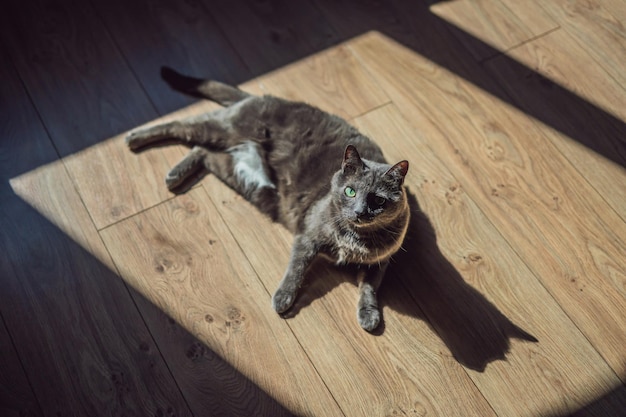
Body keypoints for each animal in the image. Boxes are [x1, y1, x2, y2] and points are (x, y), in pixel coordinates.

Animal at [126, 66, 410, 330]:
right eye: (350, 191)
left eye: (378, 201)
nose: (360, 211)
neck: (355, 238)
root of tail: (259, 97)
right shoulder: (308, 235)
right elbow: (296, 268)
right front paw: (283, 299)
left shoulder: (380, 261)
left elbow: (370, 288)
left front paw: (369, 316)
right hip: (224, 130)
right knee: (182, 125)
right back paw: (134, 138)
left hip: (236, 172)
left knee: (203, 151)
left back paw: (175, 174)